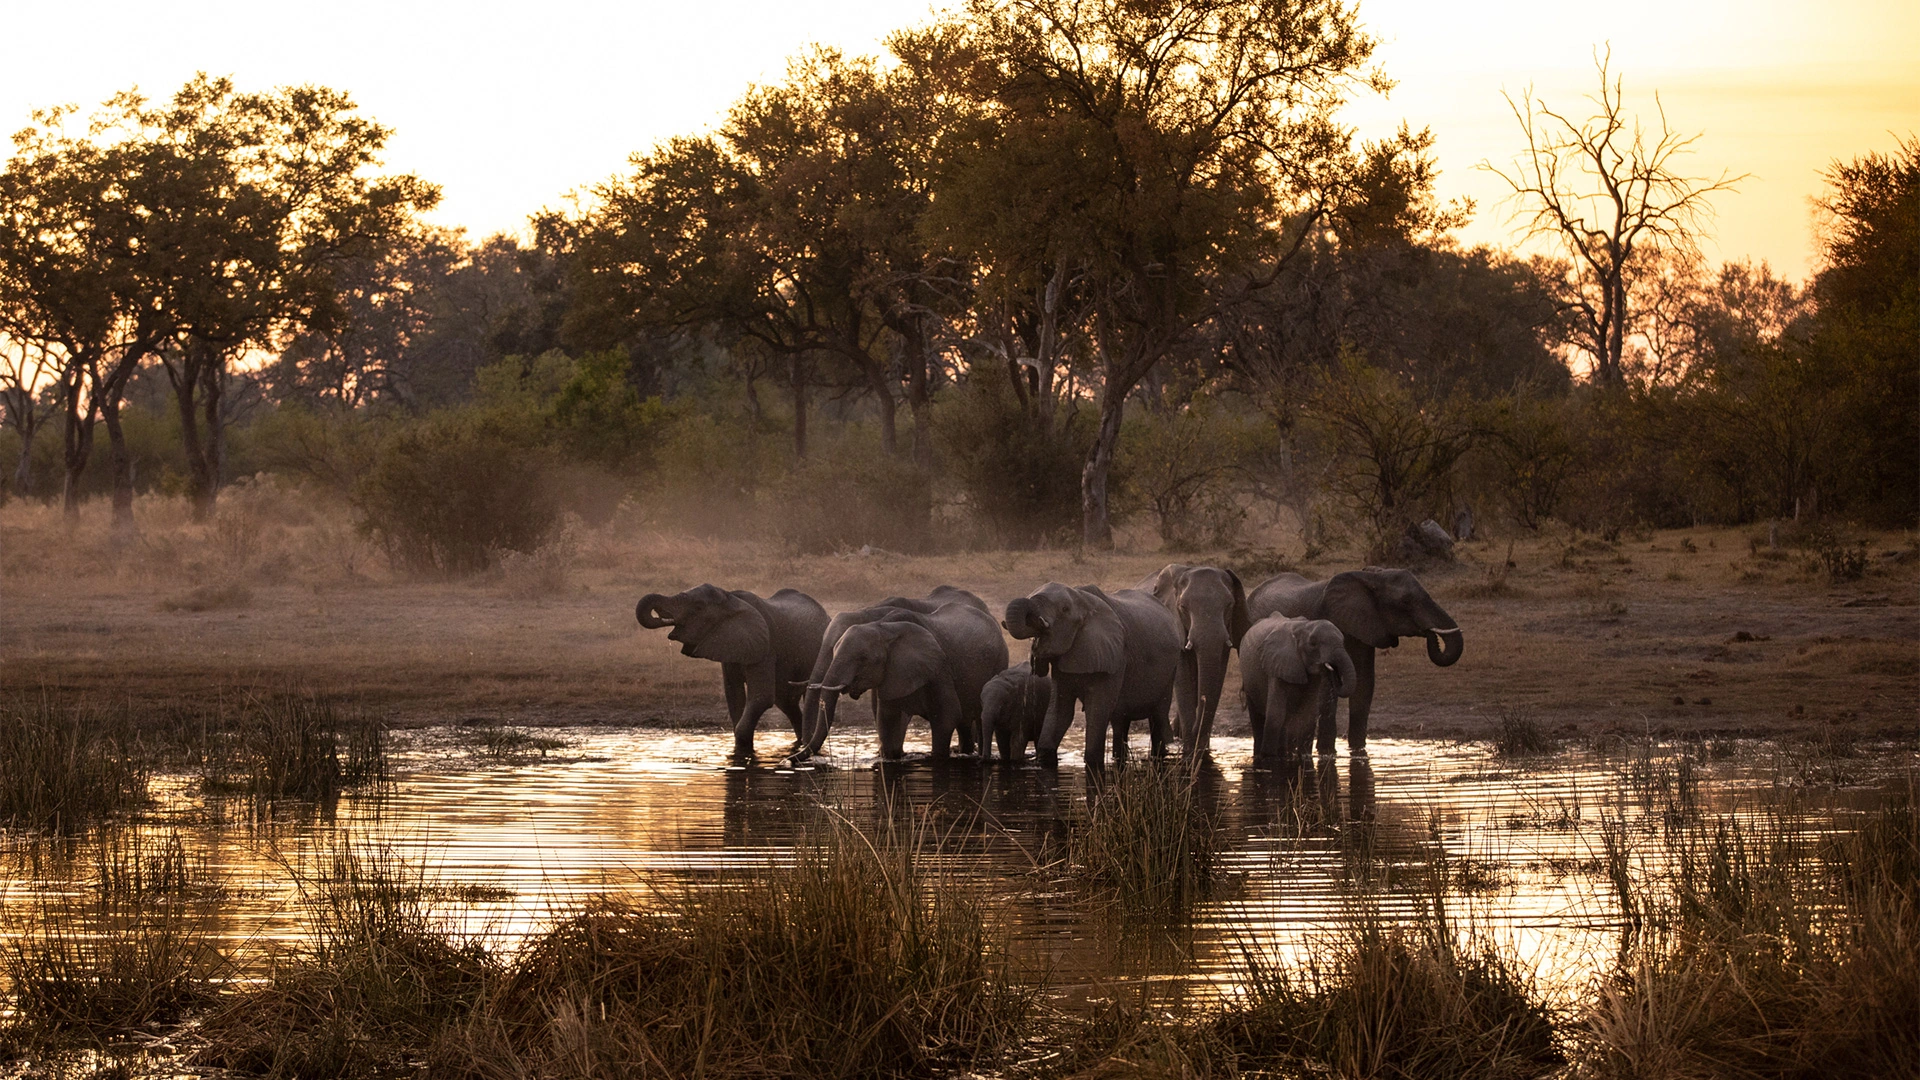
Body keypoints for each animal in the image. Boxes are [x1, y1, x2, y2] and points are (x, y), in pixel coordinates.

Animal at [635, 584, 830, 760]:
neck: (731, 600)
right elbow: (734, 695)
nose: (660, 615)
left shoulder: (766, 646)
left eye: (698, 607)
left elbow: (761, 698)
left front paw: (744, 752)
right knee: (786, 701)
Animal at [1001, 583, 1181, 768]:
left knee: (1159, 715)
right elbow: (1060, 711)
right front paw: (1044, 761)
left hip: (1171, 668)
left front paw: (1092, 763)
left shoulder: (1115, 657)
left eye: (1064, 609)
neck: (1083, 600)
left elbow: (1098, 710)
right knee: (1120, 720)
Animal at [1136, 563, 1251, 757]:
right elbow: (1183, 678)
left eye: (1230, 605)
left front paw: (1202, 749)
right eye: (1182, 607)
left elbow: (1217, 674)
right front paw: (1190, 751)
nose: (1194, 732)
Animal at [1239, 615, 1355, 766]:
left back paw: (1284, 754)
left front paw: (1304, 757)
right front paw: (1269, 758)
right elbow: (1276, 713)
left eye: (1343, 641)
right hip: (1248, 678)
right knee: (1257, 715)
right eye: (1313, 643)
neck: (1304, 627)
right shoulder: (1277, 664)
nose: (1331, 669)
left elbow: (1309, 715)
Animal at [1247, 567, 1463, 754]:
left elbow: (1364, 684)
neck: (1370, 577)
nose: (1429, 632)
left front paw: (1358, 750)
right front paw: (1327, 753)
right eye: (1405, 602)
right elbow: (1327, 690)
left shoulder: (1366, 625)